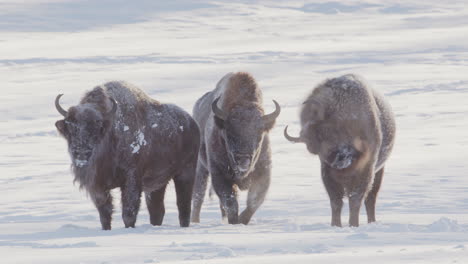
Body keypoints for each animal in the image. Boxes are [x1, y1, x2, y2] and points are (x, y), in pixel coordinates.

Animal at [54, 81, 199, 230]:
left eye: (97, 126)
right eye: (71, 126)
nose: (82, 153)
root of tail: (192, 123)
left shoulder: (131, 179)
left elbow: (128, 212)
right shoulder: (98, 186)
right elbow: (105, 213)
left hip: (185, 173)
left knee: (183, 205)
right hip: (157, 184)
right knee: (157, 210)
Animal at [191, 72, 282, 225]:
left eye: (259, 133)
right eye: (229, 132)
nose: (243, 159)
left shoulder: (263, 174)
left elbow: (254, 202)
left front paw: (241, 221)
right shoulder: (219, 175)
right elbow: (231, 203)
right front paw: (235, 222)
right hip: (200, 167)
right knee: (198, 196)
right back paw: (194, 221)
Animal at [284, 73, 396, 227]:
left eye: (334, 132)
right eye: (315, 148)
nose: (338, 161)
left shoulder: (366, 170)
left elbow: (355, 200)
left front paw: (353, 224)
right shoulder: (328, 174)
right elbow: (336, 201)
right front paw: (335, 225)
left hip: (379, 171)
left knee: (370, 199)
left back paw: (371, 222)